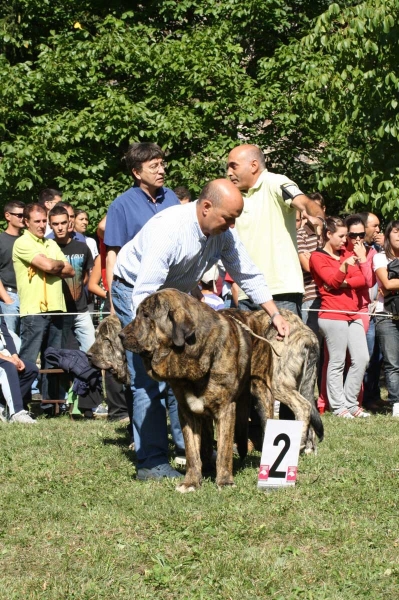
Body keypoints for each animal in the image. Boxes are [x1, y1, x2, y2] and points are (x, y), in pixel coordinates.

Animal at [120, 290, 276, 492]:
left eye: (146, 316)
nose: (120, 335)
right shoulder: (187, 412)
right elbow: (192, 452)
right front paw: (191, 482)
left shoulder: (225, 409)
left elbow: (224, 449)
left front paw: (224, 481)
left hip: (262, 392)